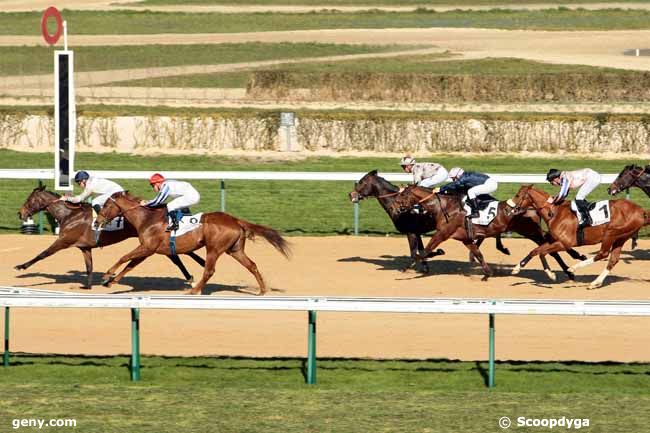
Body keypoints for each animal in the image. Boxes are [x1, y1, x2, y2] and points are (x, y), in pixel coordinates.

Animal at [15, 185, 205, 288]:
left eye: (30, 200)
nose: (20, 213)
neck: (69, 215)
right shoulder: (85, 247)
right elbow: (89, 267)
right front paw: (89, 286)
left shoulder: (63, 241)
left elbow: (43, 254)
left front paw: (21, 266)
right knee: (177, 254)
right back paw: (194, 272)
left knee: (177, 256)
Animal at [95, 192, 288, 296]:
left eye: (106, 205)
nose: (97, 221)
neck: (147, 219)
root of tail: (235, 220)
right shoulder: (148, 250)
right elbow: (130, 265)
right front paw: (111, 282)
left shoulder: (147, 247)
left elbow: (124, 257)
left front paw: (107, 275)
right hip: (235, 250)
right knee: (252, 265)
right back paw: (262, 290)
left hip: (214, 248)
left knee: (209, 270)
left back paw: (194, 290)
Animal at [410, 182, 584, 280]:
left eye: (404, 195)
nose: (407, 210)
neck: (445, 208)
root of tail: (532, 208)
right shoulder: (465, 237)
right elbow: (478, 253)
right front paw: (487, 273)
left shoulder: (443, 233)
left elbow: (427, 248)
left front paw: (416, 261)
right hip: (531, 232)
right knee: (550, 246)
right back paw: (570, 268)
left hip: (530, 231)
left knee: (550, 246)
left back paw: (571, 264)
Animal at [508, 183, 644, 286]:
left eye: (518, 195)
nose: (511, 209)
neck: (554, 212)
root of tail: (641, 211)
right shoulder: (554, 241)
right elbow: (535, 251)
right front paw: (517, 268)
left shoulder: (565, 244)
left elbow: (542, 253)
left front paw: (551, 274)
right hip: (621, 238)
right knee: (613, 259)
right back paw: (595, 283)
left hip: (611, 234)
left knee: (603, 254)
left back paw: (574, 268)